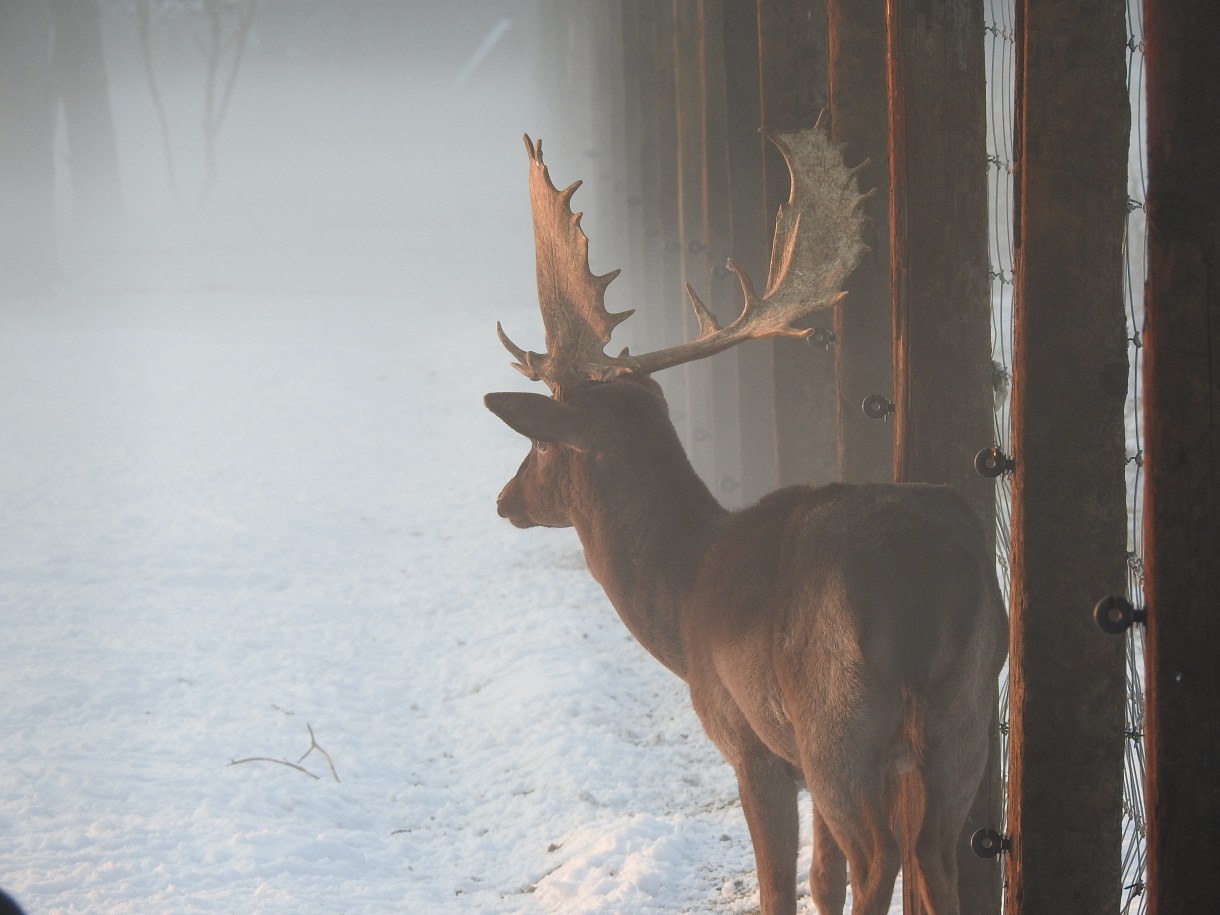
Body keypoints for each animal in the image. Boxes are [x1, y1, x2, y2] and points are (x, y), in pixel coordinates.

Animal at [480, 127, 1005, 915]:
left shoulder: (750, 739)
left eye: (541, 444)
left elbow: (781, 885)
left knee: (879, 854)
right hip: (968, 711)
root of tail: (924, 580)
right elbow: (821, 881)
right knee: (936, 854)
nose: (506, 499)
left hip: (835, 717)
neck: (683, 601)